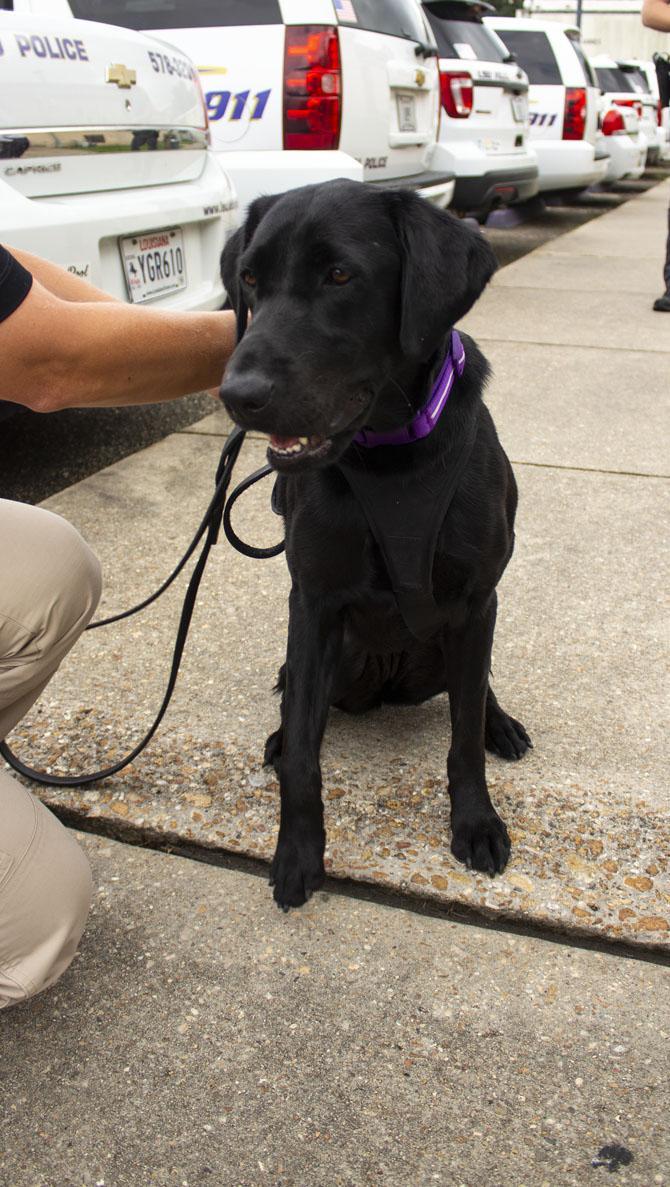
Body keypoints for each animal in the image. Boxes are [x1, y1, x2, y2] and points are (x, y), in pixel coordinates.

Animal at [222, 180, 532, 911]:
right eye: (250, 278)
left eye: (340, 275)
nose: (236, 396)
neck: (394, 453)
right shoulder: (314, 605)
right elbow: (304, 755)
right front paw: (298, 852)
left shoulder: (477, 602)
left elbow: (463, 738)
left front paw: (476, 823)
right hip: (336, 662)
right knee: (298, 703)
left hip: (455, 643)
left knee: (476, 690)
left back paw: (500, 722)